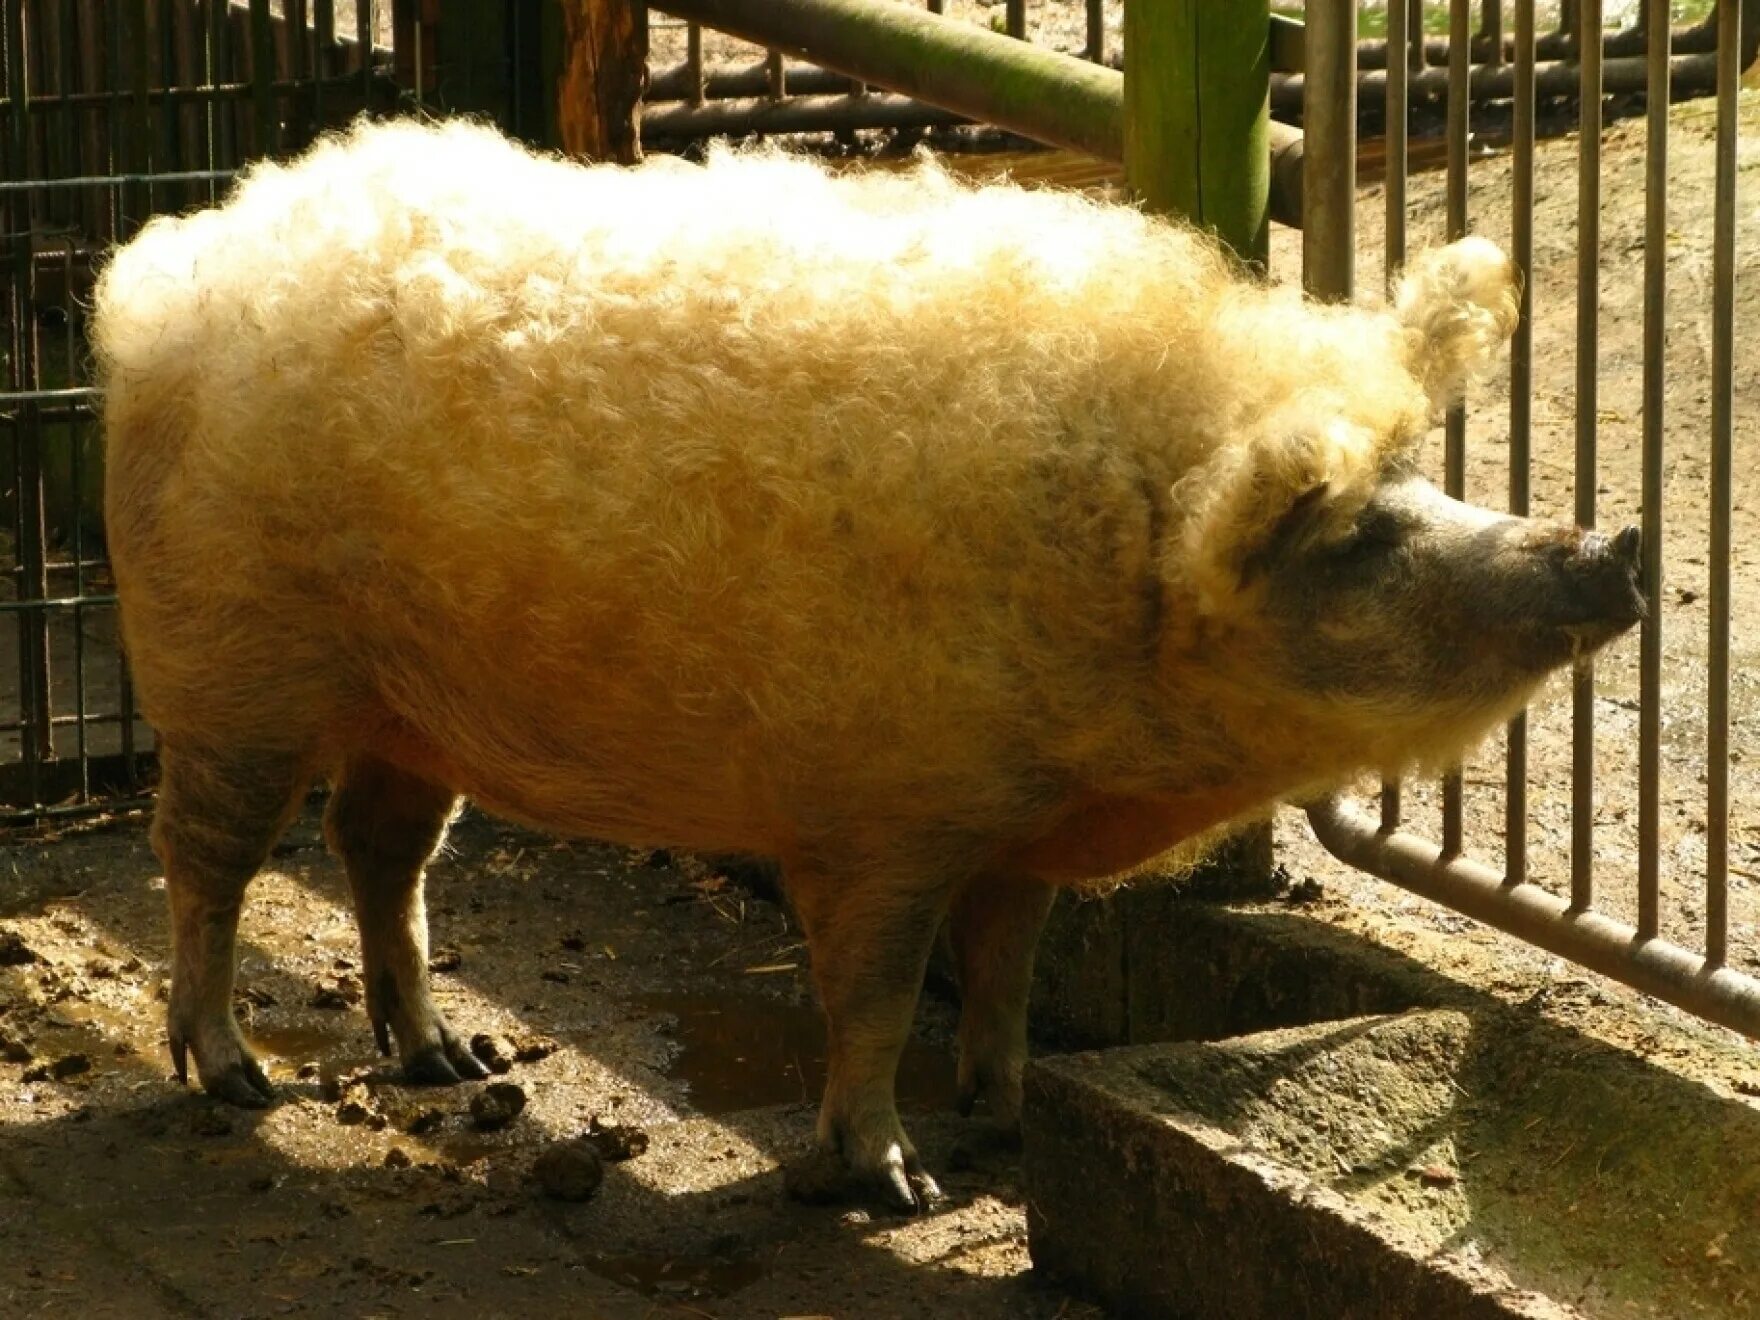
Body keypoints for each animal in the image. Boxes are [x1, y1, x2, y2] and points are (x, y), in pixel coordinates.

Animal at [89, 118, 1640, 1217]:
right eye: (1360, 534)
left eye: (1413, 481)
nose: (1611, 540)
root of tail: (171, 271)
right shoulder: (876, 818)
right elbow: (876, 996)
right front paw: (894, 1185)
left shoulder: (1013, 831)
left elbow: (1009, 970)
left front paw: (1007, 1117)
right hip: (226, 661)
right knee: (209, 859)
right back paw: (231, 1081)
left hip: (408, 703)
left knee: (379, 843)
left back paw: (448, 1062)